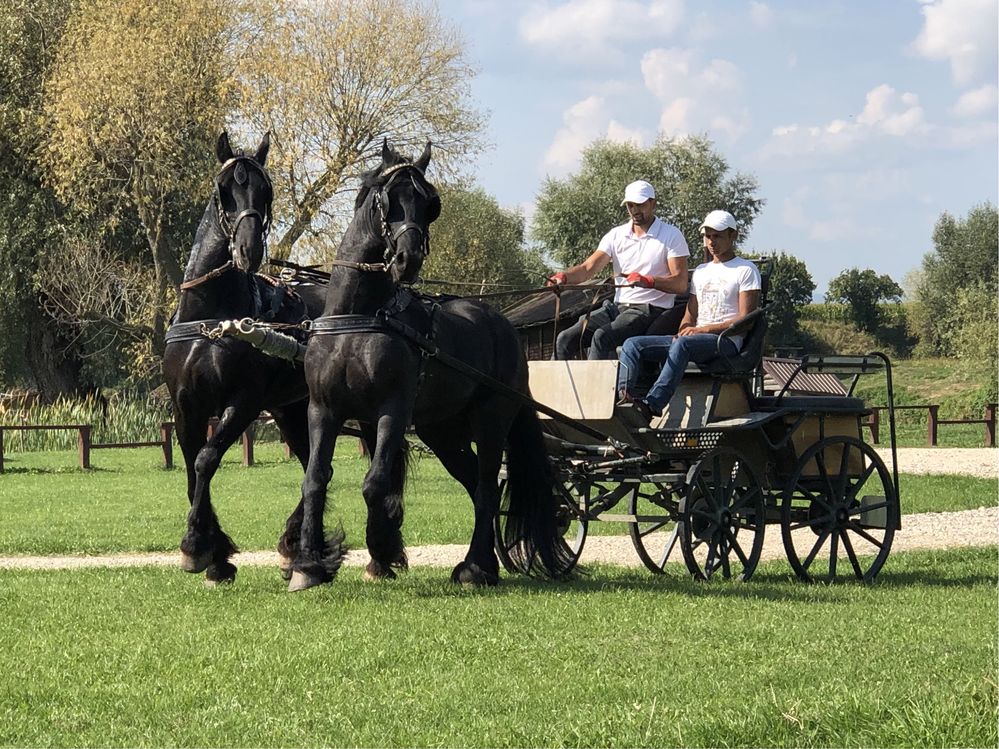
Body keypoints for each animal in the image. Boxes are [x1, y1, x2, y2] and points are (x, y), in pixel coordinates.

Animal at [163, 131, 320, 580]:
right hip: (291, 409)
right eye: (224, 191)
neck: (211, 319)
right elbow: (191, 469)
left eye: (266, 192)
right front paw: (214, 554)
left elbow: (205, 461)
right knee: (310, 463)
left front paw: (198, 547)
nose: (249, 250)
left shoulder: (245, 402)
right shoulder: (186, 406)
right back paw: (295, 547)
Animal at [286, 139, 576, 592]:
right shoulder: (324, 409)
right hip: (442, 431)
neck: (358, 317)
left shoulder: (392, 410)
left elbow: (375, 484)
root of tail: (502, 326)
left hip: (491, 419)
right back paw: (482, 564)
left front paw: (382, 552)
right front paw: (308, 566)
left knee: (488, 486)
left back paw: (476, 569)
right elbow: (315, 479)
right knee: (475, 484)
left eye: (430, 203)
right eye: (388, 199)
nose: (409, 259)